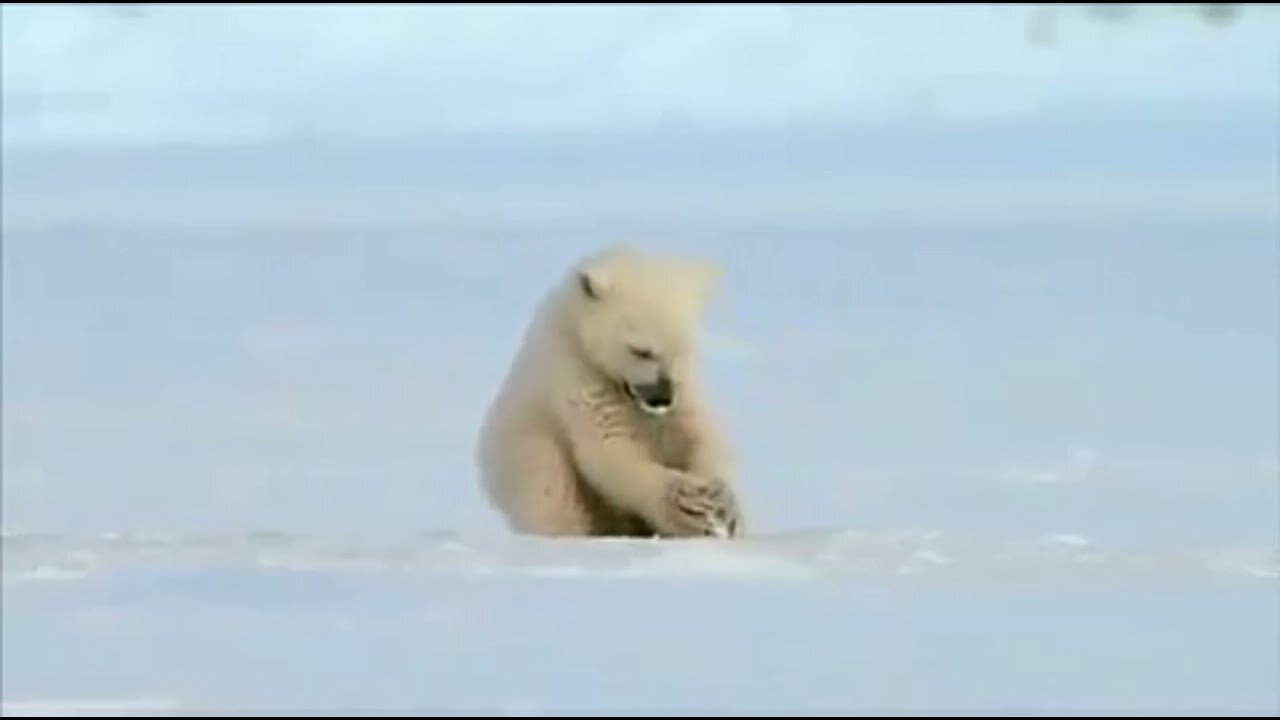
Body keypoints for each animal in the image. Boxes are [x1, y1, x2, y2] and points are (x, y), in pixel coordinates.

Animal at [478, 243, 742, 535]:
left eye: (683, 348)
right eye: (641, 351)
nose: (663, 398)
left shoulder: (686, 391)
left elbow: (699, 433)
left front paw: (721, 499)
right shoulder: (576, 372)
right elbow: (609, 447)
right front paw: (685, 501)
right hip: (524, 451)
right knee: (551, 490)